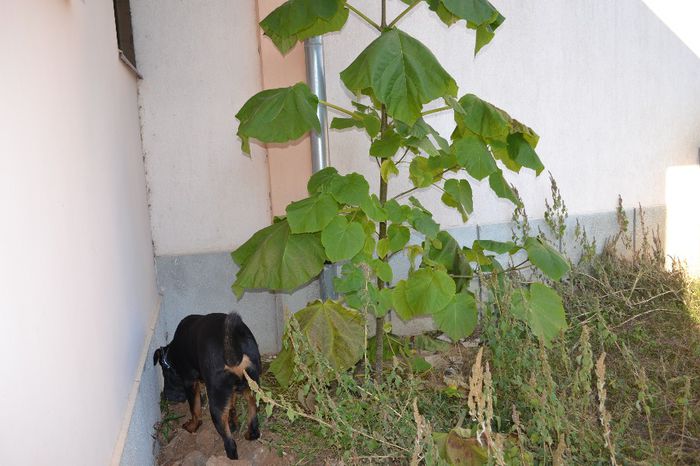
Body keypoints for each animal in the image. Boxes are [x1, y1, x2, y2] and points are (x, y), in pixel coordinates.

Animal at [154, 312, 262, 460]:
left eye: (165, 372)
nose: (168, 397)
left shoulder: (189, 382)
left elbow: (195, 409)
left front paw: (192, 426)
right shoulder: (230, 391)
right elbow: (231, 406)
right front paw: (233, 422)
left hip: (215, 403)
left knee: (230, 444)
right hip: (252, 389)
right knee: (254, 419)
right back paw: (249, 433)